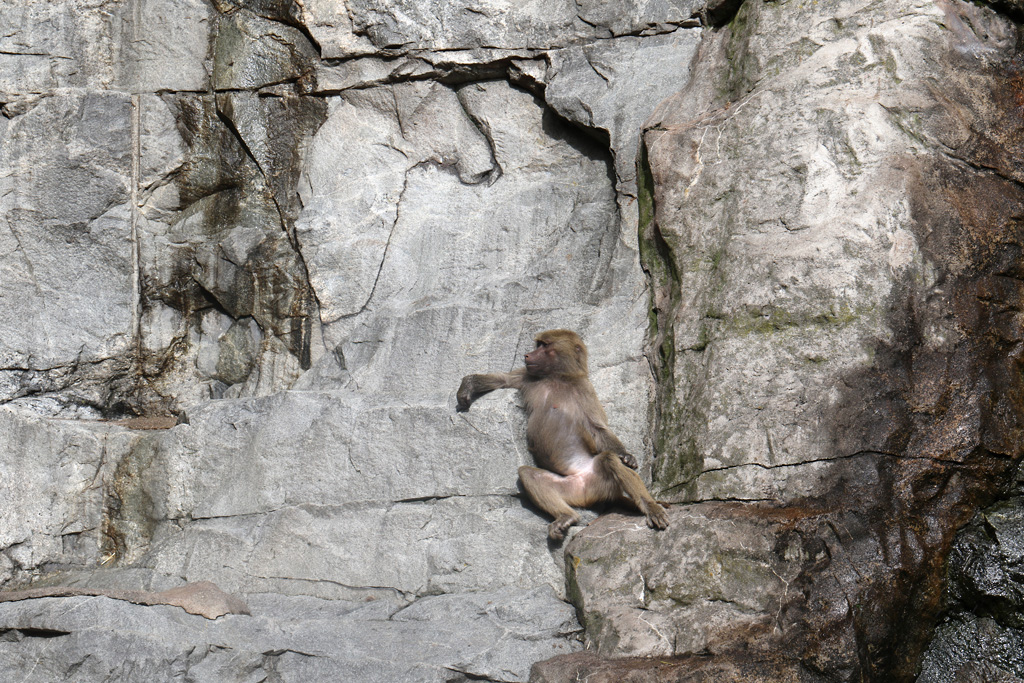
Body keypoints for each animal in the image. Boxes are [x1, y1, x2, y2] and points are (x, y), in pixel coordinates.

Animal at [456, 329, 669, 541]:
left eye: (545, 345)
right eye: (538, 345)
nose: (527, 355)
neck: (557, 377)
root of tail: (586, 491)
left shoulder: (585, 389)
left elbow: (598, 428)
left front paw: (626, 455)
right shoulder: (527, 375)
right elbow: (503, 379)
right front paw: (468, 385)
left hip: (602, 481)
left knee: (609, 459)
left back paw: (650, 506)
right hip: (571, 490)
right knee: (529, 475)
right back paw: (566, 517)